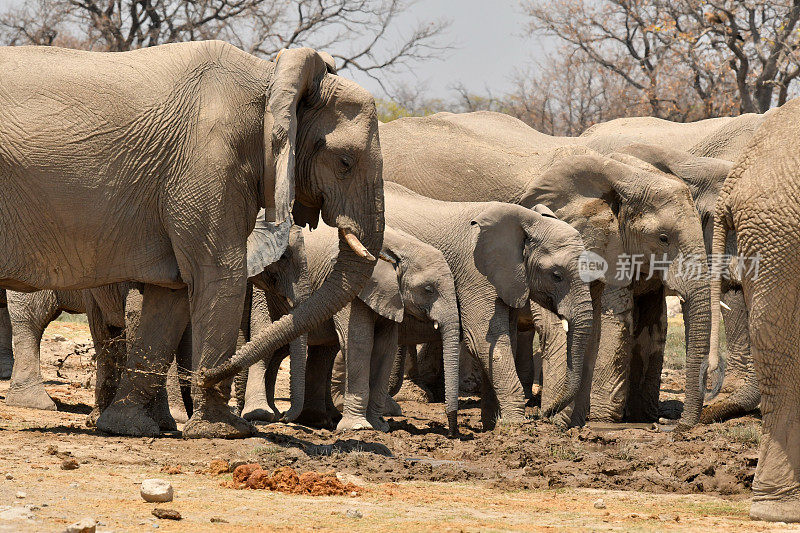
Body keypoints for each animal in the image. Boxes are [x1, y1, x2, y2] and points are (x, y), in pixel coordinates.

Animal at [0, 41, 384, 438]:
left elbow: (172, 294)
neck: (271, 77)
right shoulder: (208, 164)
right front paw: (224, 430)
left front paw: (129, 426)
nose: (204, 375)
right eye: (345, 162)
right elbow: (217, 274)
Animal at [382, 112, 712, 428]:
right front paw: (593, 420)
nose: (673, 425)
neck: (621, 171)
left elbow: (619, 324)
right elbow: (602, 321)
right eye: (664, 238)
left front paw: (576, 423)